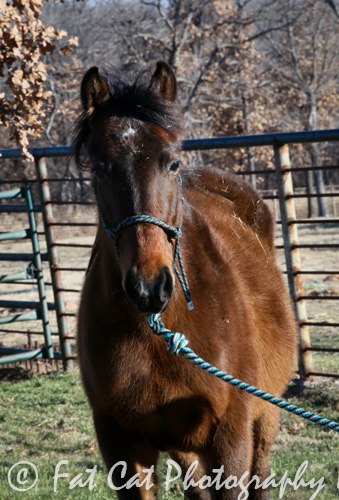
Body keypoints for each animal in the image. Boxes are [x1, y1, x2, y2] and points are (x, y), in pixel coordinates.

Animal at [73, 60, 298, 498]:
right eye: (101, 170)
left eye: (172, 163)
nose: (149, 286)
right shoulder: (122, 446)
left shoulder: (230, 441)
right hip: (185, 447)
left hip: (264, 417)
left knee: (261, 474)